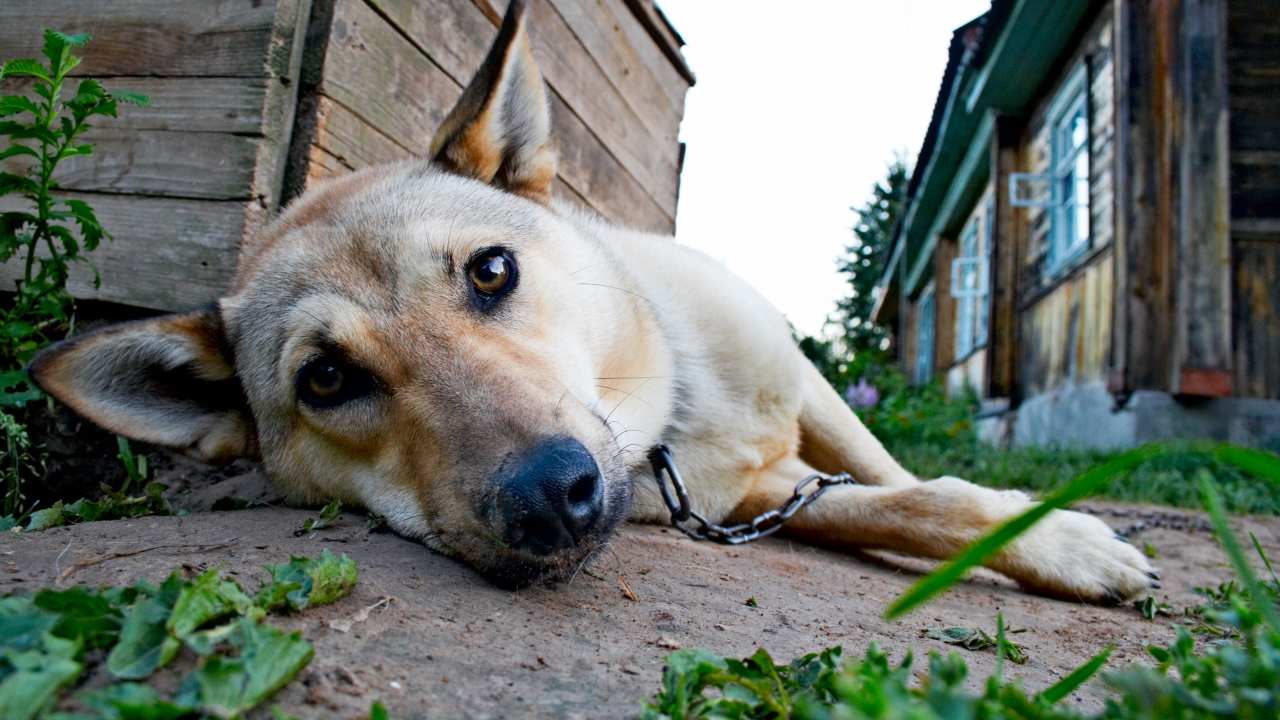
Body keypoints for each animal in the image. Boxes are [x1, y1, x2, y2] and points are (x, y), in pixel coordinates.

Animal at [29, 0, 1156, 602]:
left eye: (490, 272)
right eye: (327, 379)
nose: (547, 497)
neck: (679, 419)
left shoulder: (813, 391)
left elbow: (911, 481)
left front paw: (1046, 531)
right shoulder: (744, 504)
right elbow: (892, 507)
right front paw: (1047, 540)